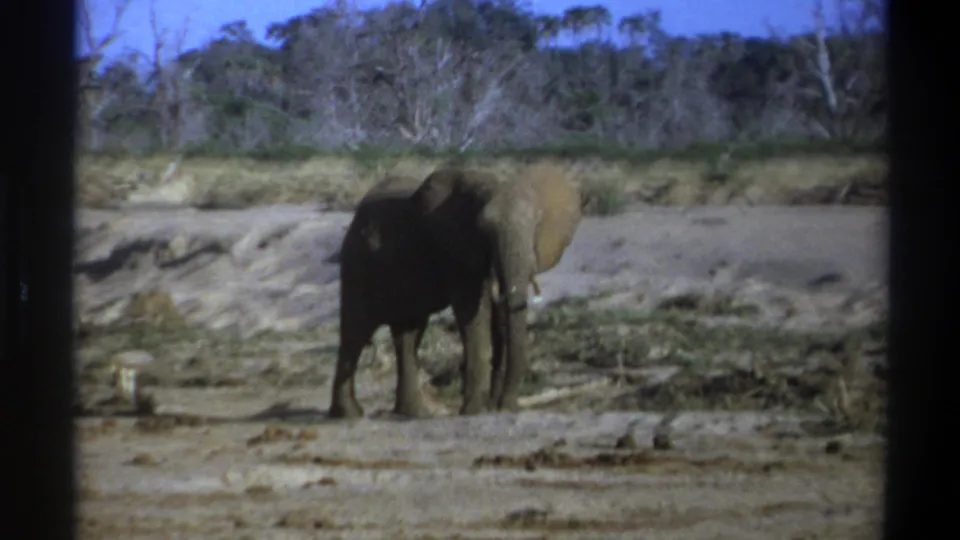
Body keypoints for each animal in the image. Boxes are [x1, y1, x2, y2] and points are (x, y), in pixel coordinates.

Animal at [412, 162, 582, 412]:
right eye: (485, 231)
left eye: (536, 226)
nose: (506, 406)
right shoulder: (459, 252)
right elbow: (472, 311)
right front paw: (475, 410)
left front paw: (495, 406)